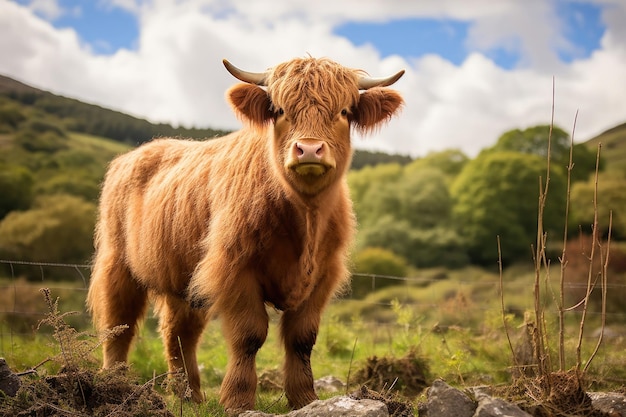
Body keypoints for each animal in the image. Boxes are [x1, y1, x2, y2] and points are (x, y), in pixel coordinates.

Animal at [85, 57, 402, 412]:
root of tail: (139, 152)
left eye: (345, 111)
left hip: (184, 280)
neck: (305, 215)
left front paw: (305, 399)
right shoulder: (235, 270)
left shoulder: (322, 276)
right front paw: (238, 401)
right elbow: (249, 335)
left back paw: (189, 397)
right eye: (279, 110)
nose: (308, 149)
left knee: (179, 333)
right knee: (119, 323)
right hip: (117, 263)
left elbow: (302, 339)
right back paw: (114, 386)